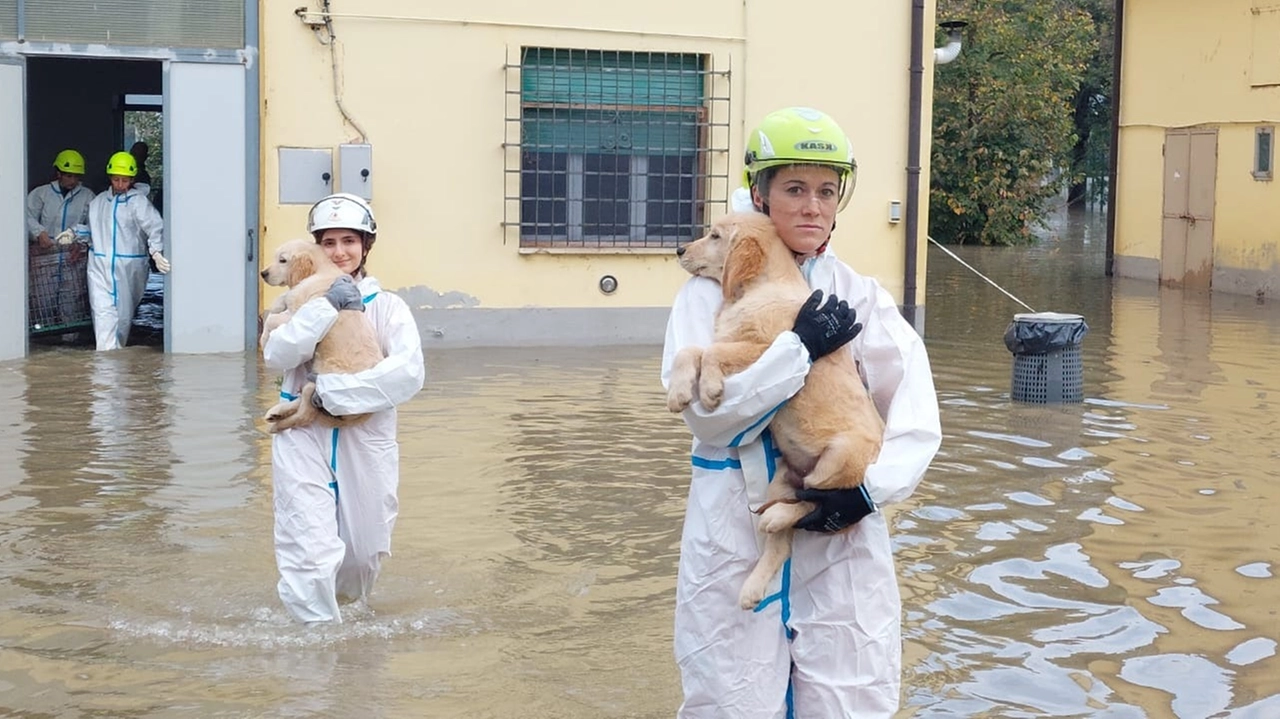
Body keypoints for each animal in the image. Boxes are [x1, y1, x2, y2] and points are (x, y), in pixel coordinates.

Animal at [257, 239, 381, 429]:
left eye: (282, 260)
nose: (263, 273)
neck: (320, 270)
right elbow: (284, 298)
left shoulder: (296, 313)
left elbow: (273, 319)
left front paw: (264, 340)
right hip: (314, 379)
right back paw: (276, 413)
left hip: (322, 383)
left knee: (305, 414)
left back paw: (278, 424)